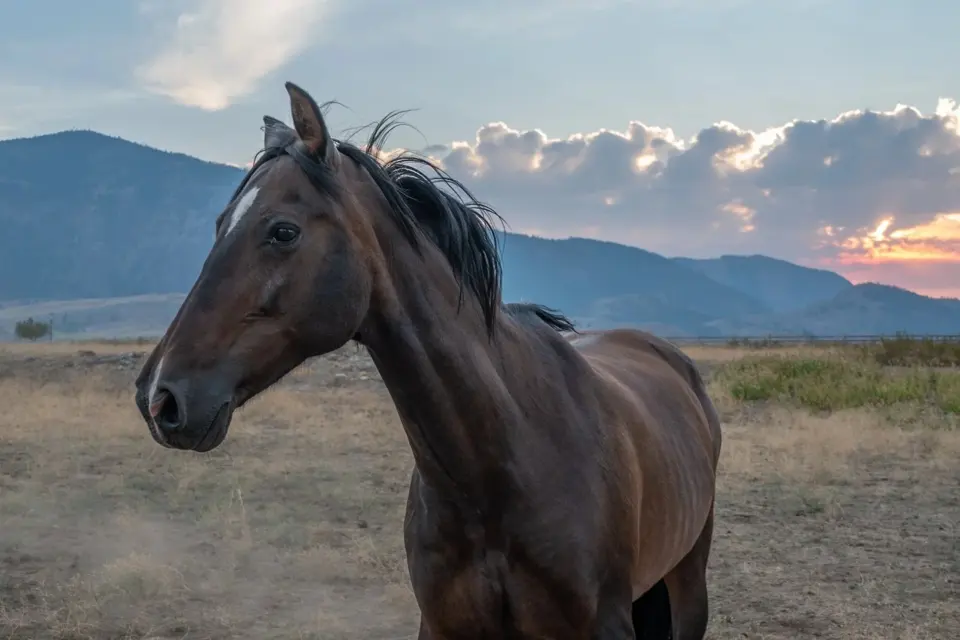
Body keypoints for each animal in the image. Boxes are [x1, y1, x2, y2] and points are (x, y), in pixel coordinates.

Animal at [133, 81, 722, 639]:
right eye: (218, 225)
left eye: (282, 231)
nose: (159, 398)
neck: (502, 465)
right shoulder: (441, 624)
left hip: (689, 579)